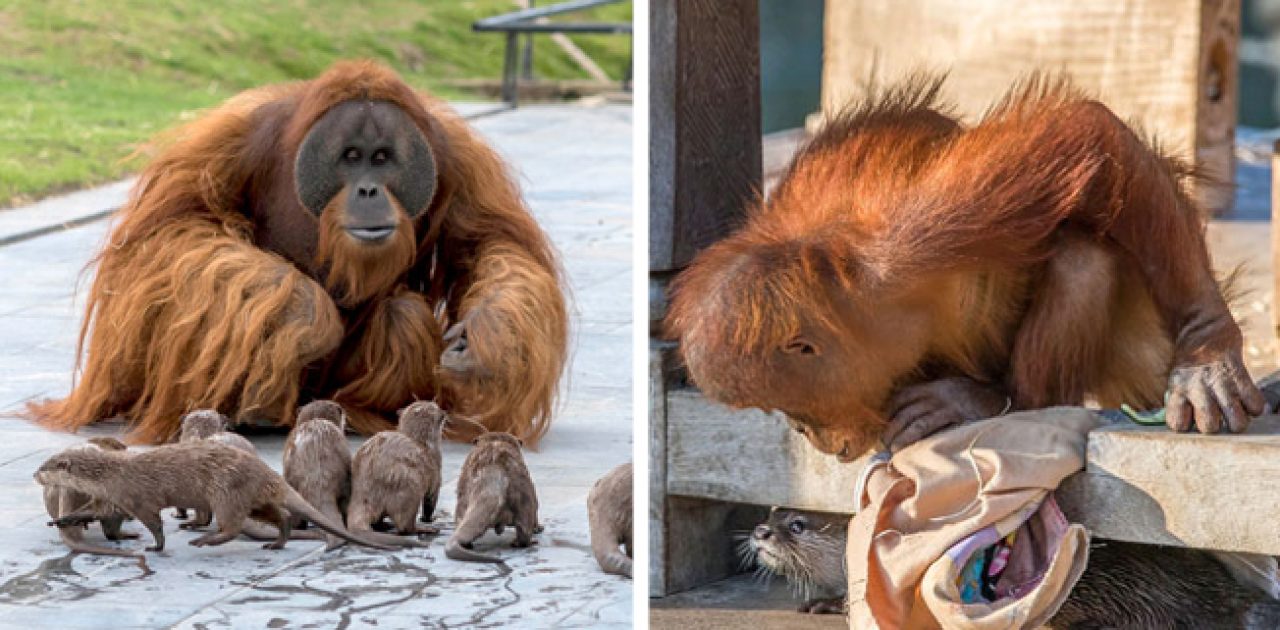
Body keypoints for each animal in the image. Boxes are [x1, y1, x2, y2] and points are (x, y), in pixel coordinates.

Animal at [38, 437, 389, 550]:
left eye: (47, 466)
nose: (34, 473)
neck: (112, 475)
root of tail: (266, 471)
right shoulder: (109, 497)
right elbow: (91, 510)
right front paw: (63, 520)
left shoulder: (137, 498)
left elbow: (154, 524)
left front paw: (156, 546)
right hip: (251, 499)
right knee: (279, 514)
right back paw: (278, 542)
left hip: (225, 491)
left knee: (232, 526)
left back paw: (205, 539)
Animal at [345, 404, 450, 545]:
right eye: (435, 407)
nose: (445, 411)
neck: (424, 444)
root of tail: (364, 493)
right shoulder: (436, 472)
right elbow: (430, 501)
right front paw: (430, 519)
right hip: (410, 486)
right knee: (404, 526)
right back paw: (426, 529)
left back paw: (387, 525)